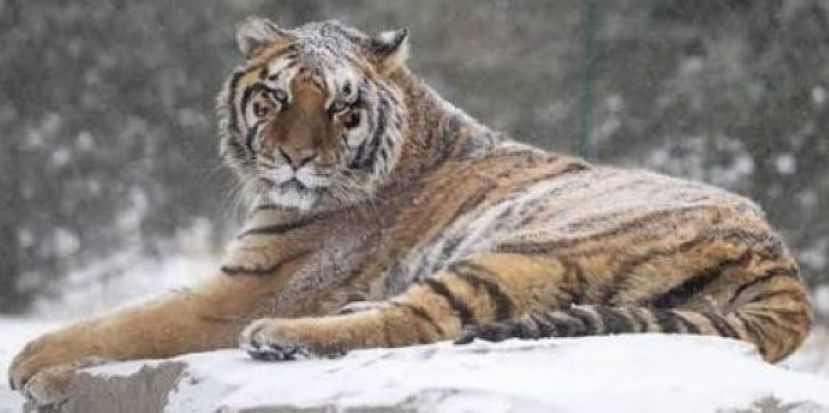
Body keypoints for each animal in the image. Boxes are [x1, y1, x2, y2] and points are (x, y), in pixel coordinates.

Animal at [10, 18, 812, 406]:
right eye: (275, 97)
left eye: (342, 107)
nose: (295, 159)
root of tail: (783, 268)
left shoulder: (251, 287)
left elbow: (130, 321)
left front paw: (31, 362)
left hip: (530, 247)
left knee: (419, 320)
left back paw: (284, 337)